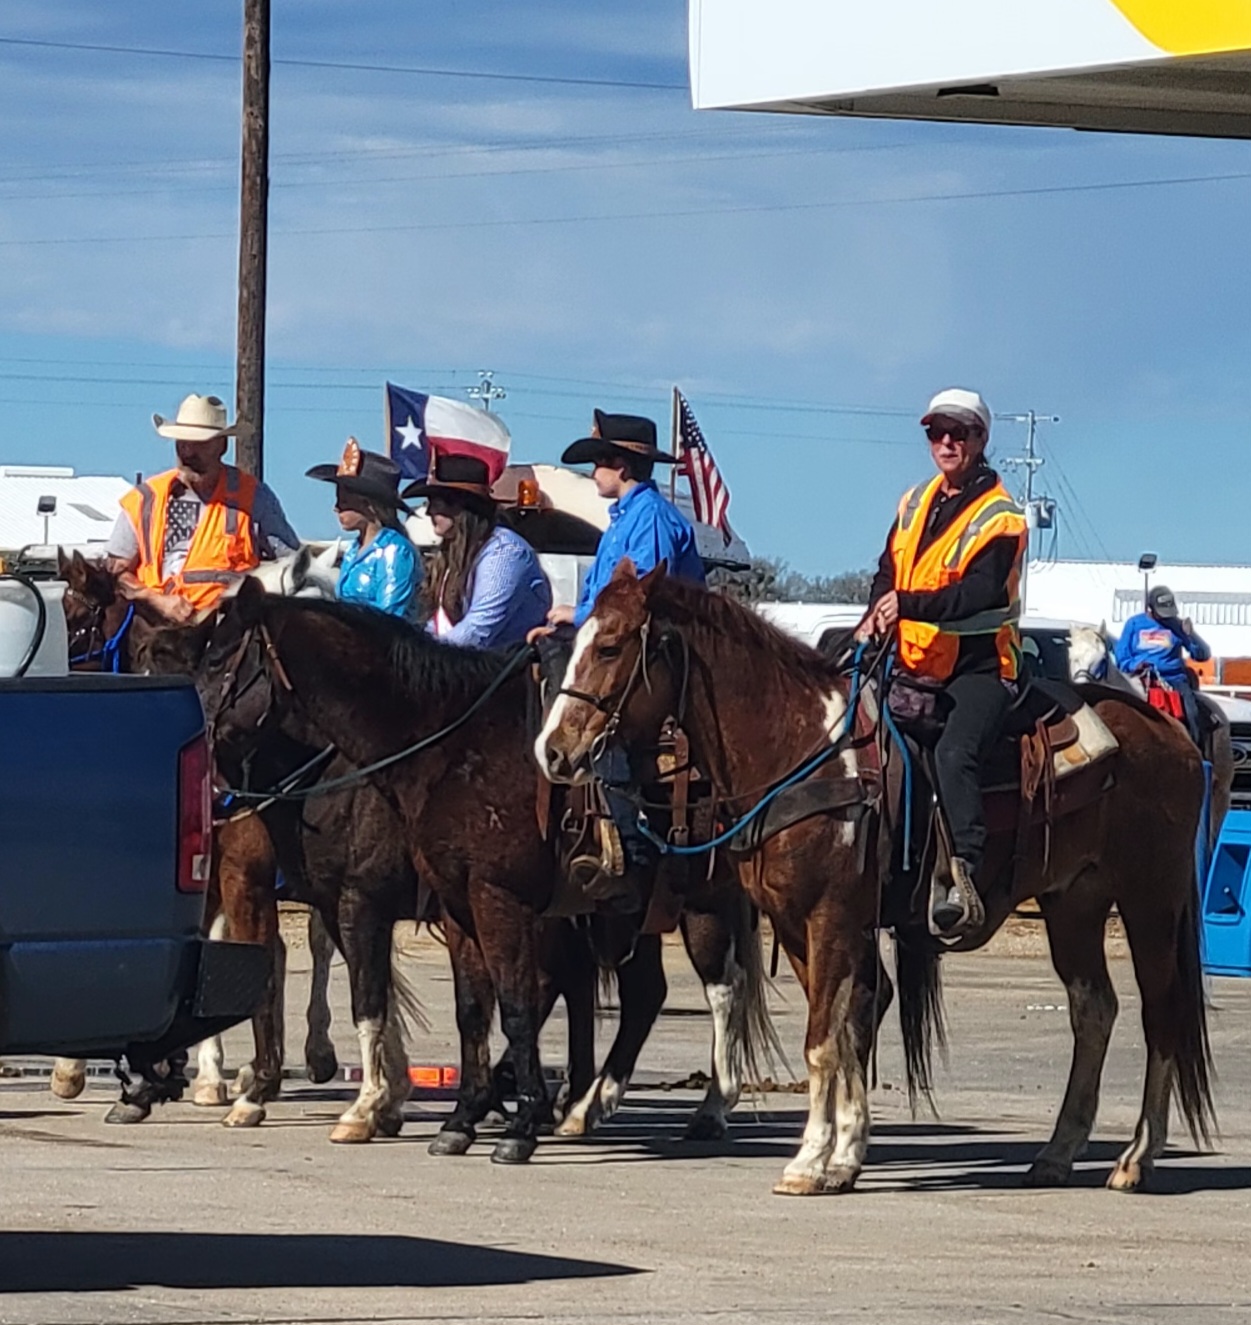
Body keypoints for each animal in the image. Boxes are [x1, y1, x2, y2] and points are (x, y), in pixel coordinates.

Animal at [535, 559, 1213, 1192]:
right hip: (1073, 901)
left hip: (1149, 900)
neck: (801, 752)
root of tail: (1170, 731)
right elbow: (845, 1028)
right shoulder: (796, 924)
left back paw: (1136, 1157)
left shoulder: (830, 916)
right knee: (1093, 1009)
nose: (553, 750)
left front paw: (809, 1160)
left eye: (610, 646)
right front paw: (843, 1157)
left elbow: (822, 1038)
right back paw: (1058, 1150)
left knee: (1161, 1013)